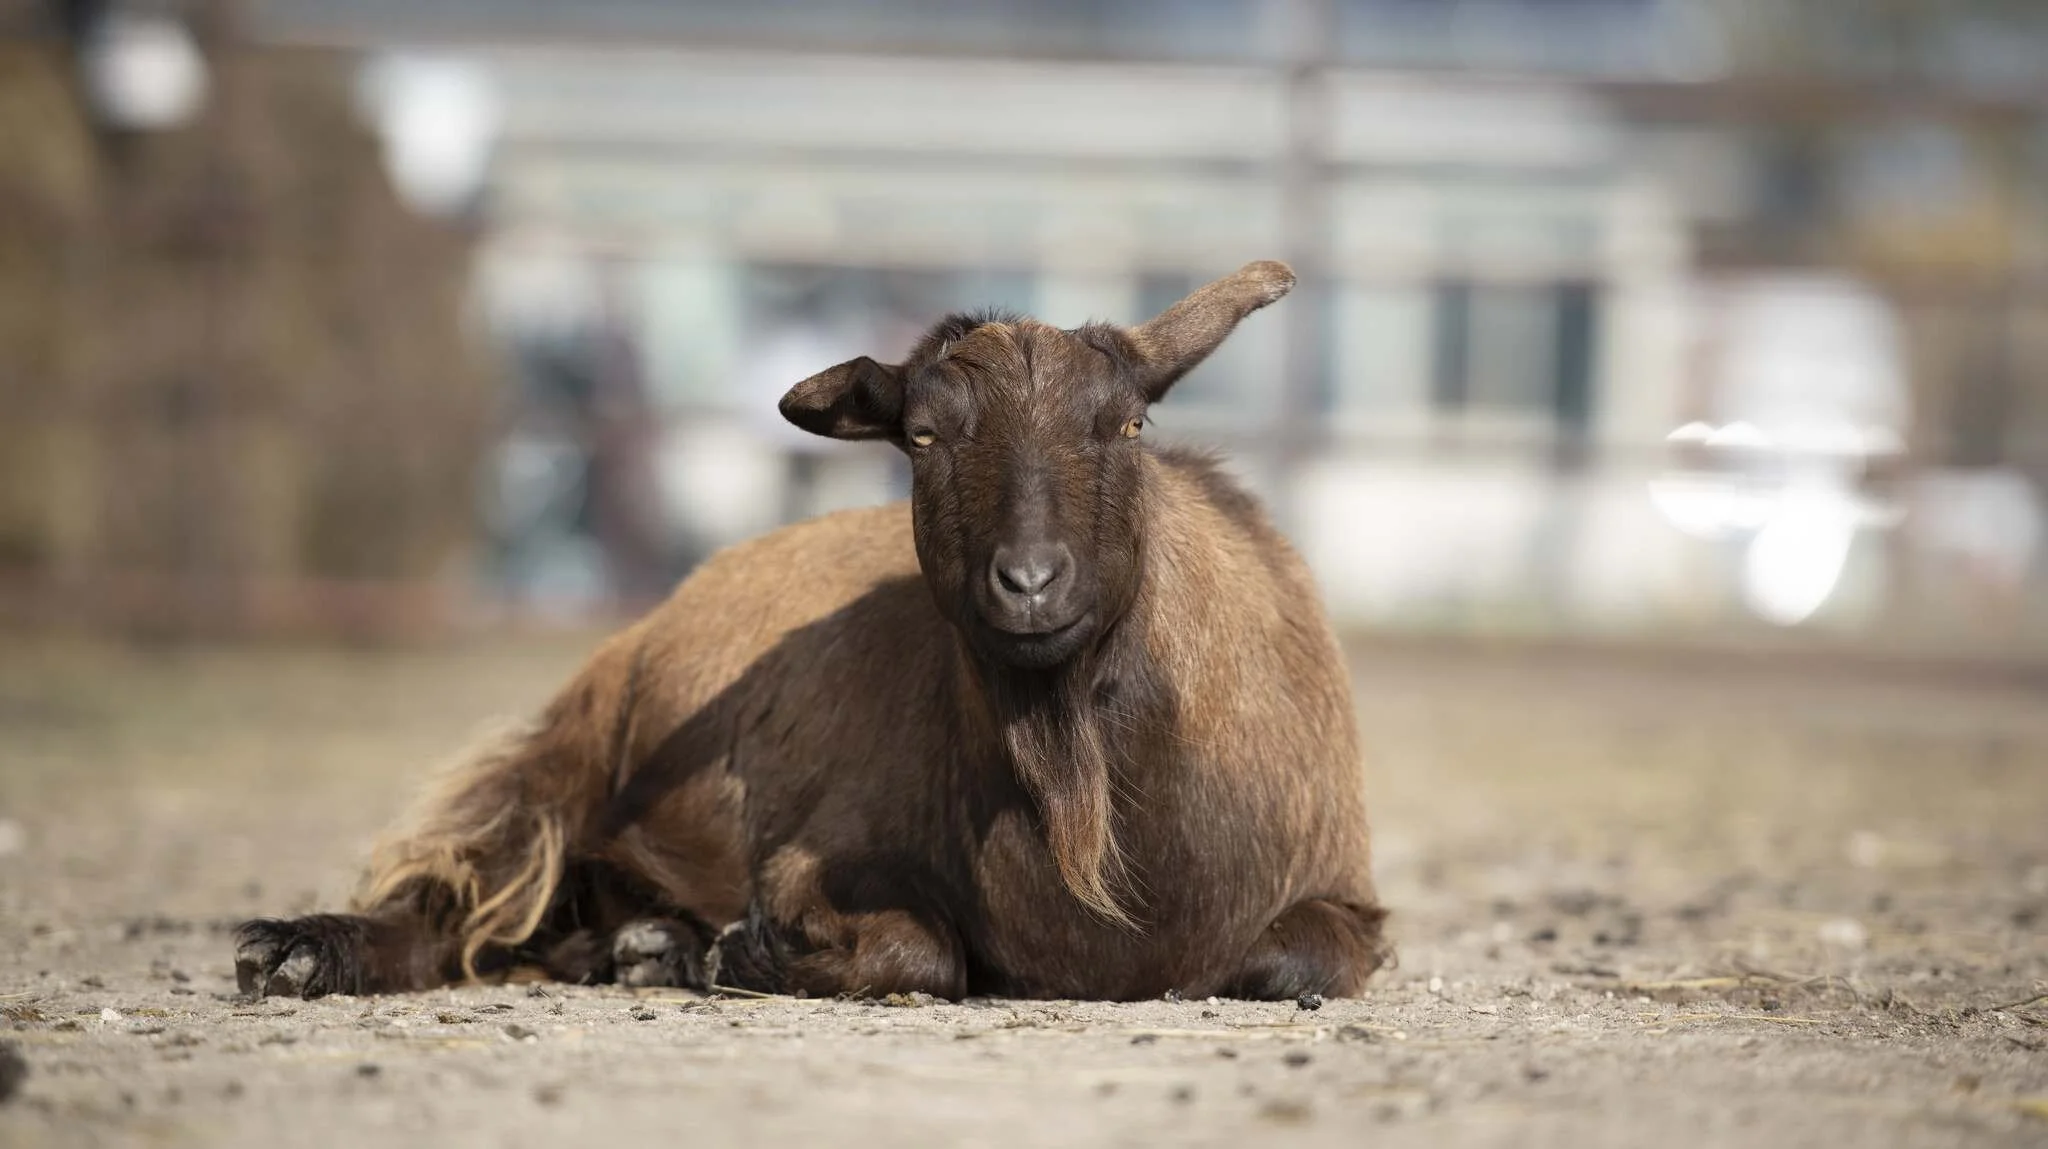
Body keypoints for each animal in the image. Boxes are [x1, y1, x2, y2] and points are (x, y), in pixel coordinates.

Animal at [233, 260, 1391, 1001]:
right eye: (920, 437)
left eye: (1128, 424)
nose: (1028, 584)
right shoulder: (811, 852)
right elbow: (922, 955)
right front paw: (748, 957)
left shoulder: (1345, 899)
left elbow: (1279, 963)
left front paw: (706, 954)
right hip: (562, 757)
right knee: (458, 901)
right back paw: (302, 953)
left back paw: (637, 944)